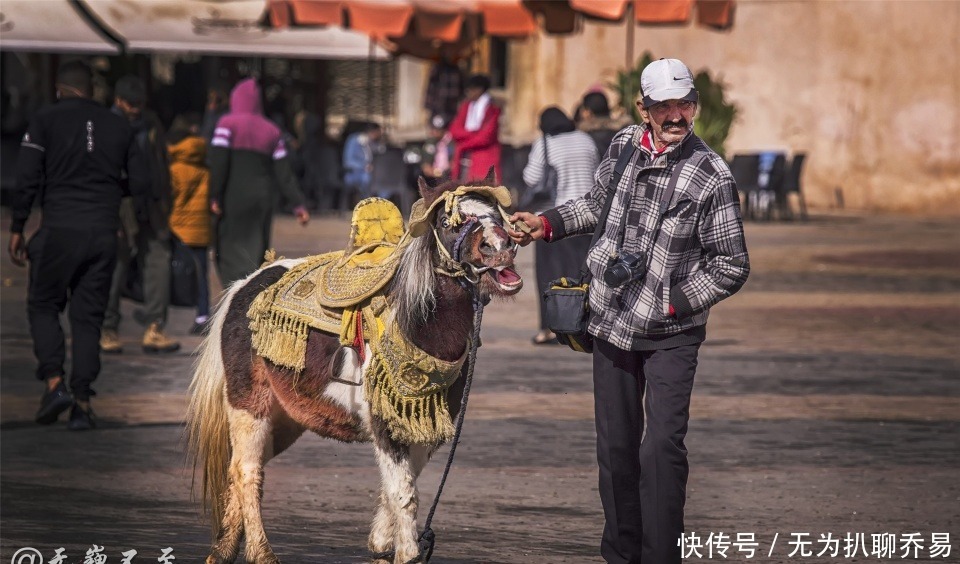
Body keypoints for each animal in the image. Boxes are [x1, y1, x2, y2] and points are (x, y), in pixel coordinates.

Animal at [185, 177, 520, 564]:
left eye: (497, 214)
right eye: (450, 222)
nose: (500, 247)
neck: (419, 327)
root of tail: (244, 286)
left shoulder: (423, 429)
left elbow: (399, 487)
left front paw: (381, 544)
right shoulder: (386, 425)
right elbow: (404, 493)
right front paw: (407, 553)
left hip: (284, 418)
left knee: (239, 469)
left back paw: (222, 550)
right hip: (248, 403)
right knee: (246, 472)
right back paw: (261, 553)